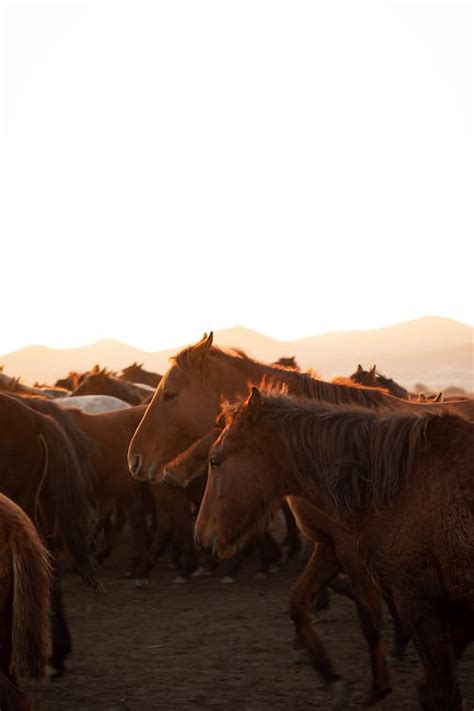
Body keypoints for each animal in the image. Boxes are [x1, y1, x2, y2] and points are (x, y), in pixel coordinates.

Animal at [198, 390, 474, 711]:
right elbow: (299, 602)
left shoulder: (417, 600)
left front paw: (376, 687)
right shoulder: (330, 547)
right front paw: (333, 678)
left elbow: (373, 623)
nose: (201, 534)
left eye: (215, 461)